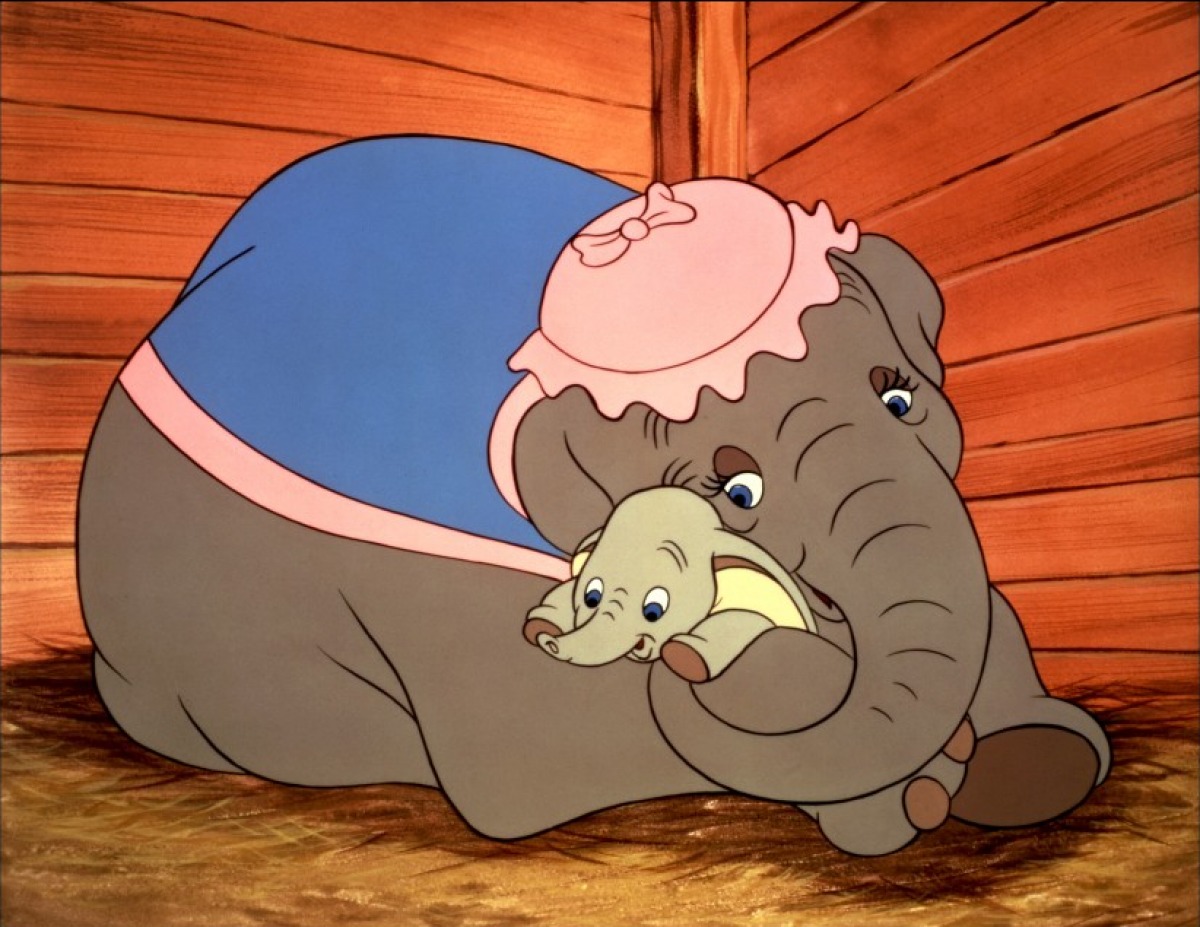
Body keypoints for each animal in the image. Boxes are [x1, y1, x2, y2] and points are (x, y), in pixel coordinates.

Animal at [523, 486, 817, 680]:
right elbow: (562, 590)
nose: (550, 643)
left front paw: (683, 657)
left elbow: (744, 619)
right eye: (591, 597)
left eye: (653, 611)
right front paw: (540, 624)